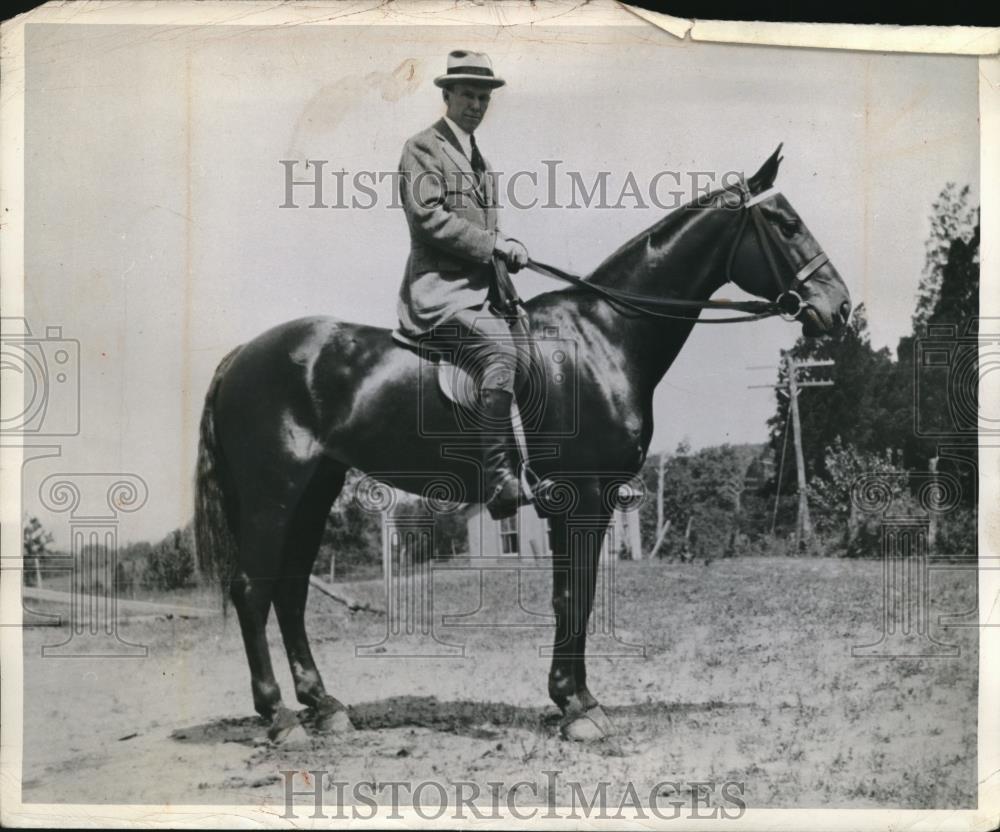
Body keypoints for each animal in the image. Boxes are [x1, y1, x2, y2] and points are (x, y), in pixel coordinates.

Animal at [193, 146, 852, 744]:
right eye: (785, 224)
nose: (839, 307)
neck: (603, 335)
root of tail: (241, 355)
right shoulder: (584, 496)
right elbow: (574, 596)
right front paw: (578, 708)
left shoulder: (586, 500)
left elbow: (572, 596)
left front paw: (573, 699)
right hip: (274, 493)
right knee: (253, 589)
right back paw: (279, 718)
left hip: (314, 491)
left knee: (290, 589)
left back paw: (324, 706)